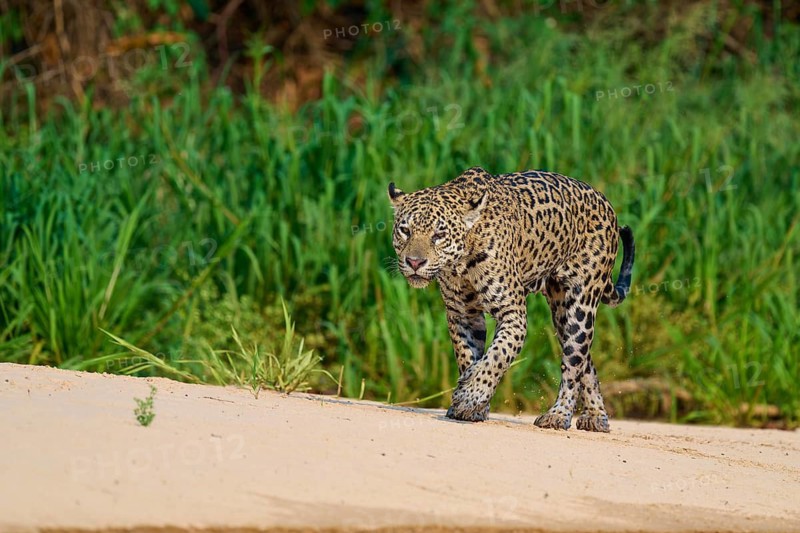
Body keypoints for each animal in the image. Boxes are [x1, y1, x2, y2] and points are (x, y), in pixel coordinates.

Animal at [387, 166, 634, 432]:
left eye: (439, 234)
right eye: (405, 230)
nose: (414, 262)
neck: (461, 262)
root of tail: (606, 203)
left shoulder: (512, 313)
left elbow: (497, 356)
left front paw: (471, 395)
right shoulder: (462, 314)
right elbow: (468, 355)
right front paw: (472, 404)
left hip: (581, 306)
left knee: (573, 363)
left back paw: (558, 415)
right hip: (561, 312)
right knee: (585, 362)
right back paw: (596, 416)